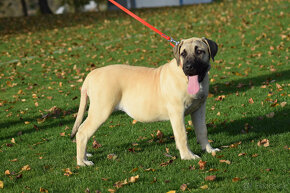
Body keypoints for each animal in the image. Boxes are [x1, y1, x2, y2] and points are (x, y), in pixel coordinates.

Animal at [71, 36, 219, 166]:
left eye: (199, 51)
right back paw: (82, 162)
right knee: (82, 132)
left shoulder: (199, 109)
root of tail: (91, 75)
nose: (188, 67)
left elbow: (202, 130)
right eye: (183, 54)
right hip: (100, 111)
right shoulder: (177, 112)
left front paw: (209, 149)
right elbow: (182, 135)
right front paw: (188, 156)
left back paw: (84, 155)